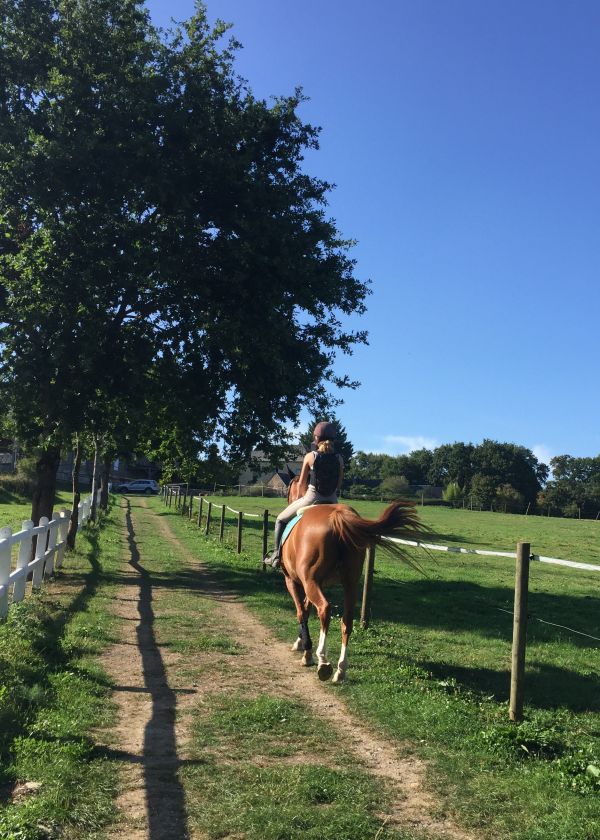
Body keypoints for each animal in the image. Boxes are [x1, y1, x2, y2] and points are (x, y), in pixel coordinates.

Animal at [278, 472, 420, 684]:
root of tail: (339, 517)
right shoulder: (315, 583)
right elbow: (307, 608)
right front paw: (301, 644)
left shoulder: (294, 581)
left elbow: (302, 612)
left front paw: (306, 652)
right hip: (349, 584)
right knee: (347, 621)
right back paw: (340, 670)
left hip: (312, 583)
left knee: (325, 609)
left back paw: (323, 661)